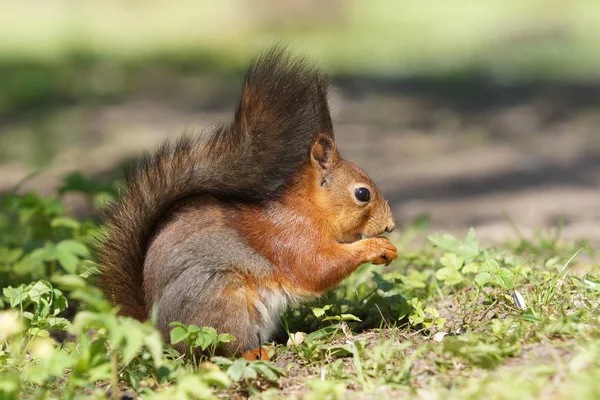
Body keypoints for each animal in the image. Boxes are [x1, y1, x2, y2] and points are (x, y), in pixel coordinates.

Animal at [97, 47, 398, 360]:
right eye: (362, 194)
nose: (390, 226)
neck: (309, 210)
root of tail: (157, 333)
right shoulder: (292, 239)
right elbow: (318, 269)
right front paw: (374, 247)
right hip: (223, 299)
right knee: (220, 351)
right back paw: (257, 353)